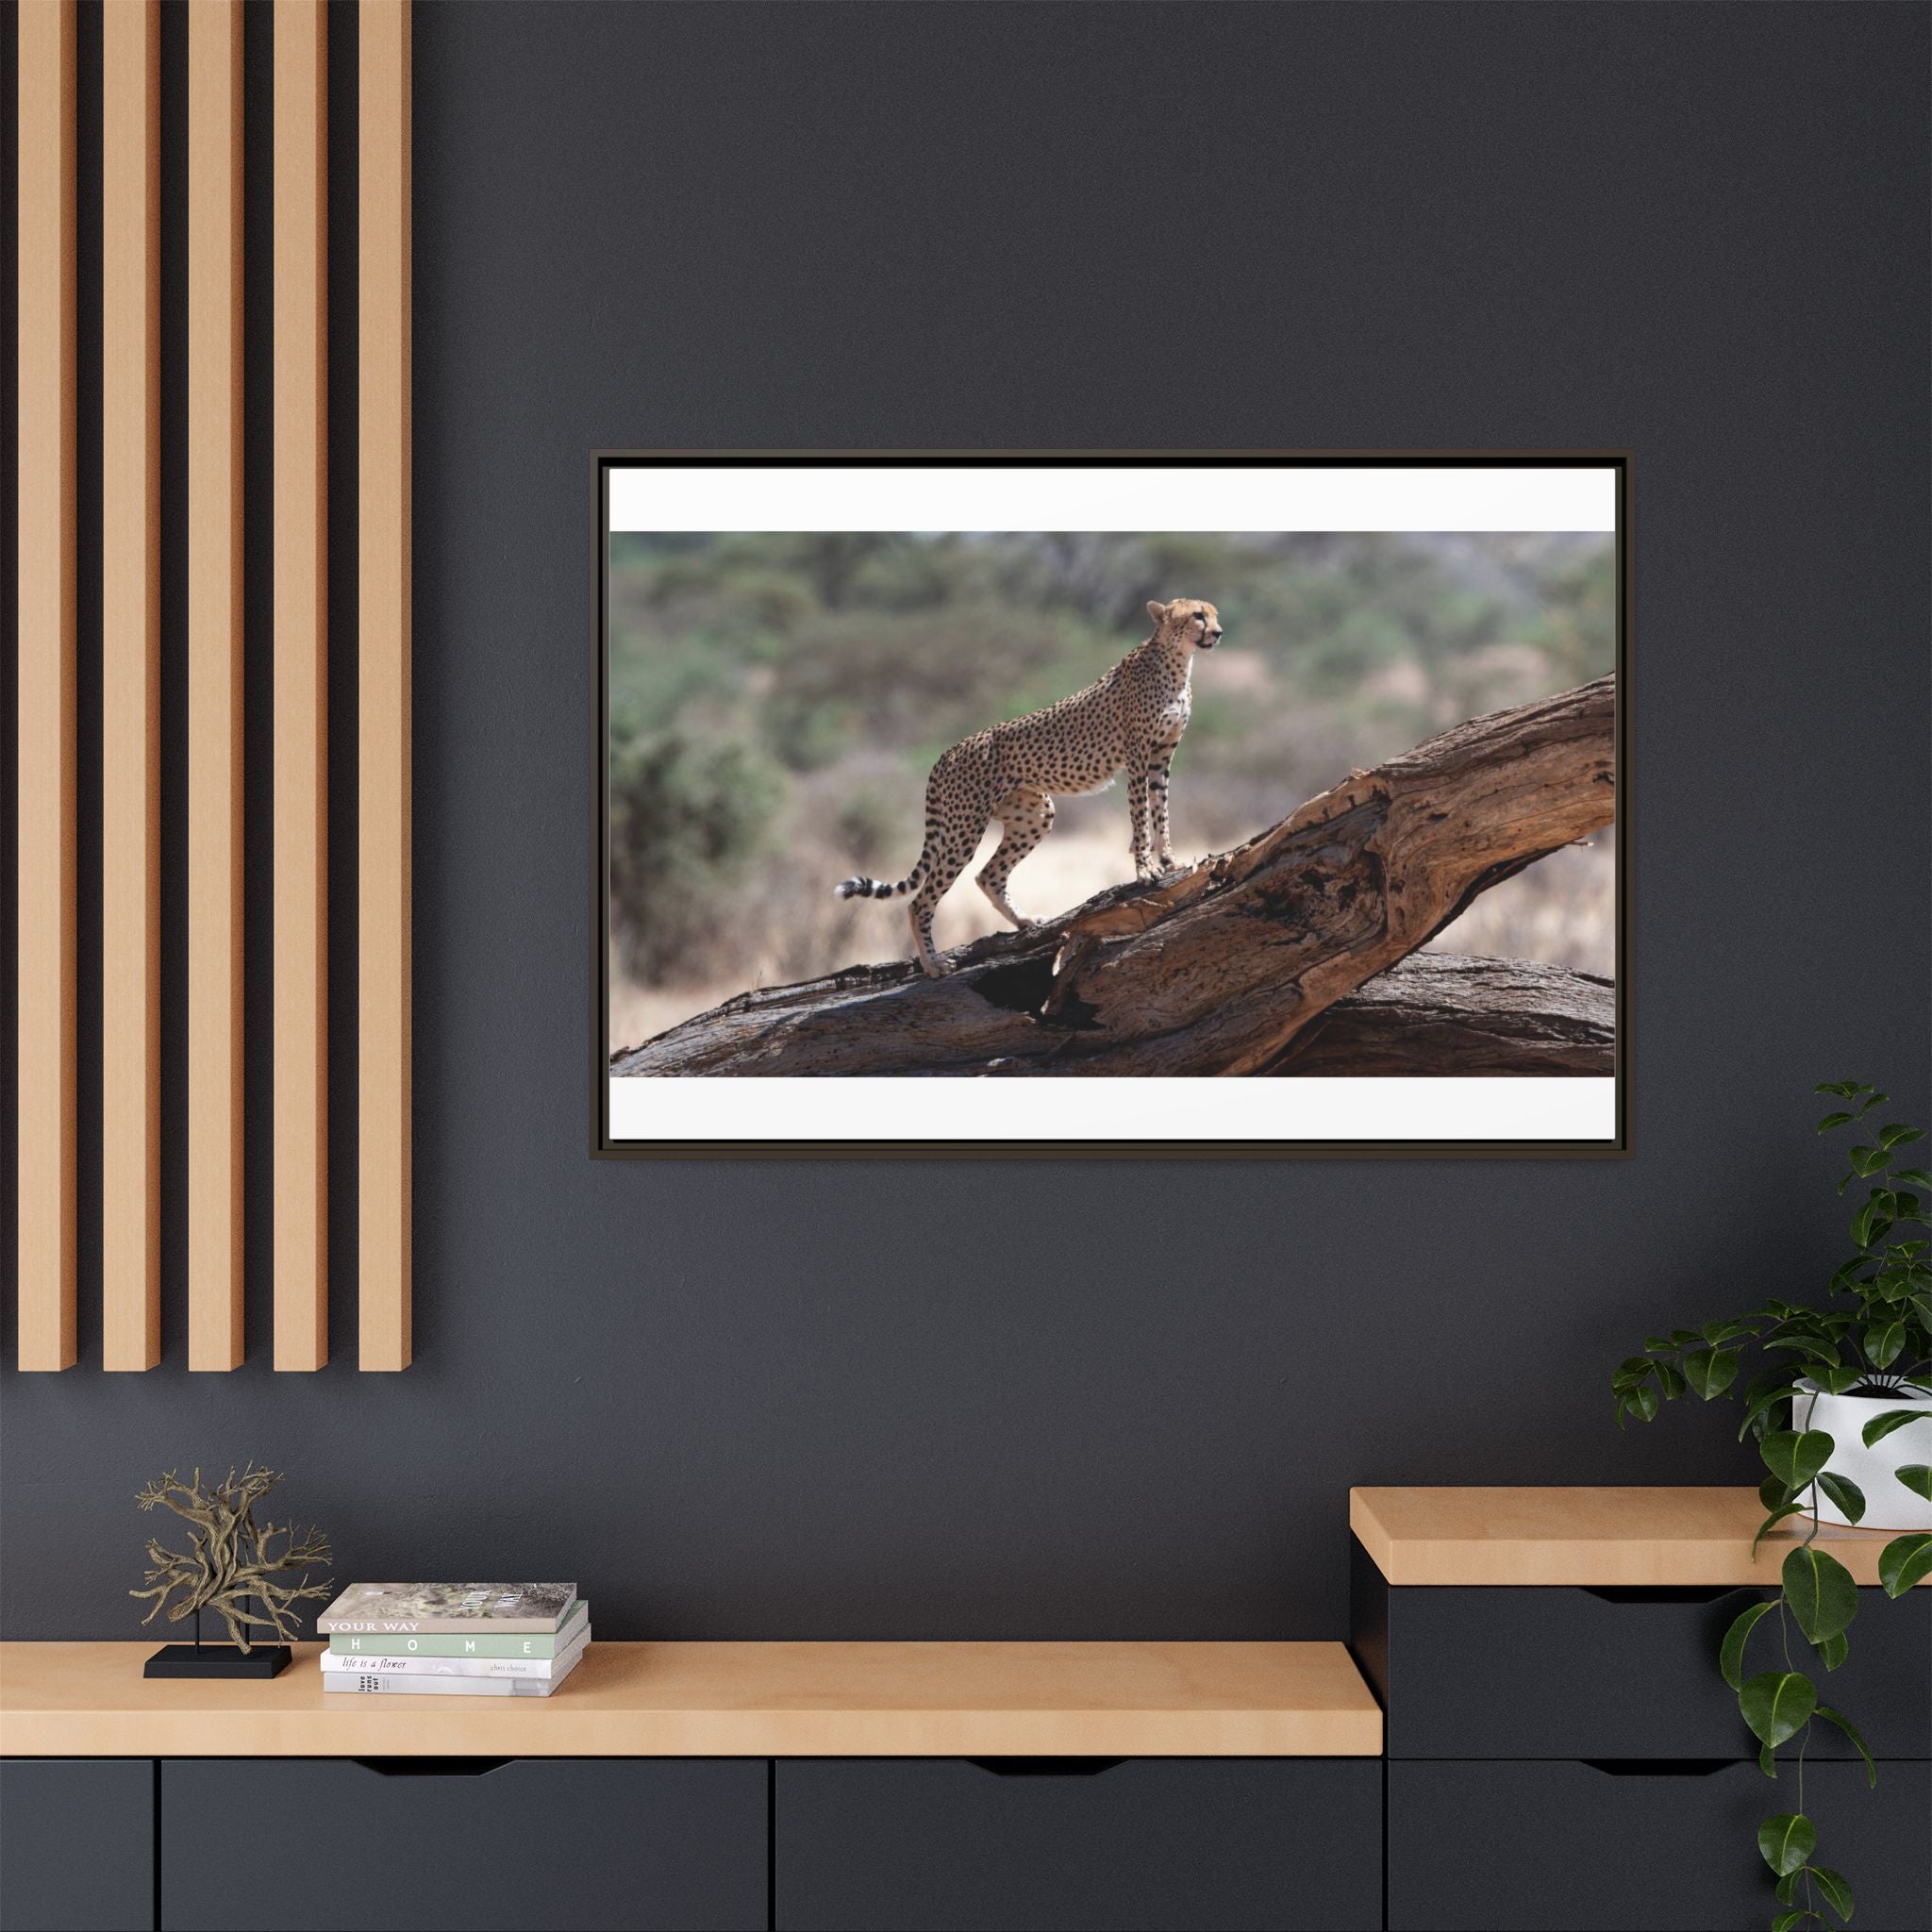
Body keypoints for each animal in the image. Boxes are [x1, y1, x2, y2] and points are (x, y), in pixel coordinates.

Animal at [835, 597, 1224, 977]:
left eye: (1214, 614)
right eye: (1197, 615)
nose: (1218, 632)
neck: (1178, 661)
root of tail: (947, 752)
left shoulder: (1161, 757)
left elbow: (1161, 811)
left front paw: (1169, 860)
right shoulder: (1138, 757)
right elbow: (1141, 817)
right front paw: (1145, 870)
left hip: (1034, 813)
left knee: (988, 876)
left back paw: (1025, 921)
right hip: (965, 827)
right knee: (921, 900)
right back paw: (934, 964)